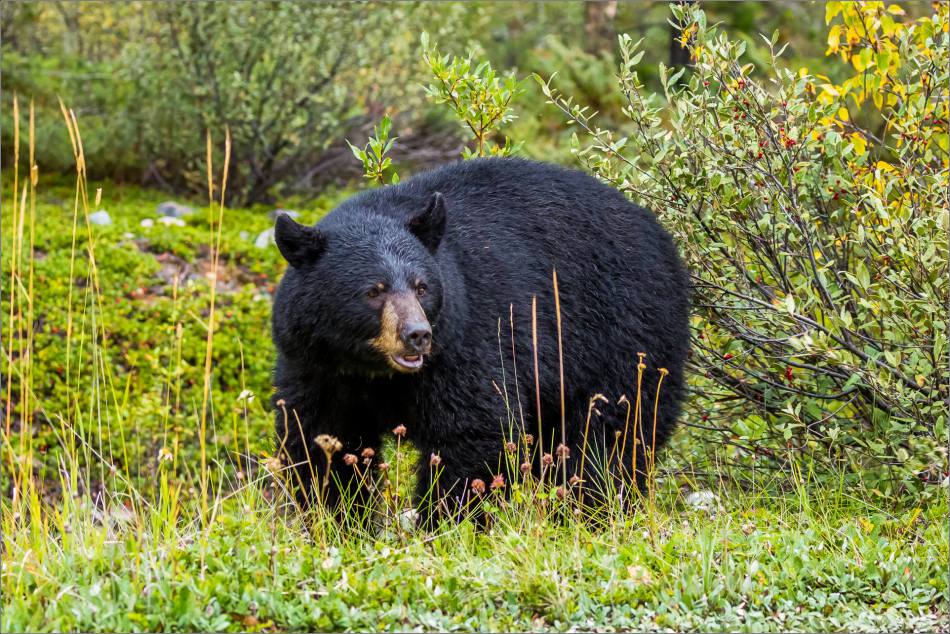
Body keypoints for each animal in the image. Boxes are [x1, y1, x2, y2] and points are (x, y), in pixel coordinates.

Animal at [270, 157, 690, 520]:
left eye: (422, 287)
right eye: (373, 291)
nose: (417, 335)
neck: (373, 371)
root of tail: (662, 236)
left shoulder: (466, 340)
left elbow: (472, 431)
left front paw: (443, 523)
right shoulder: (316, 365)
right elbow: (320, 438)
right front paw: (338, 519)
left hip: (621, 333)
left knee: (611, 433)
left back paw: (590, 508)